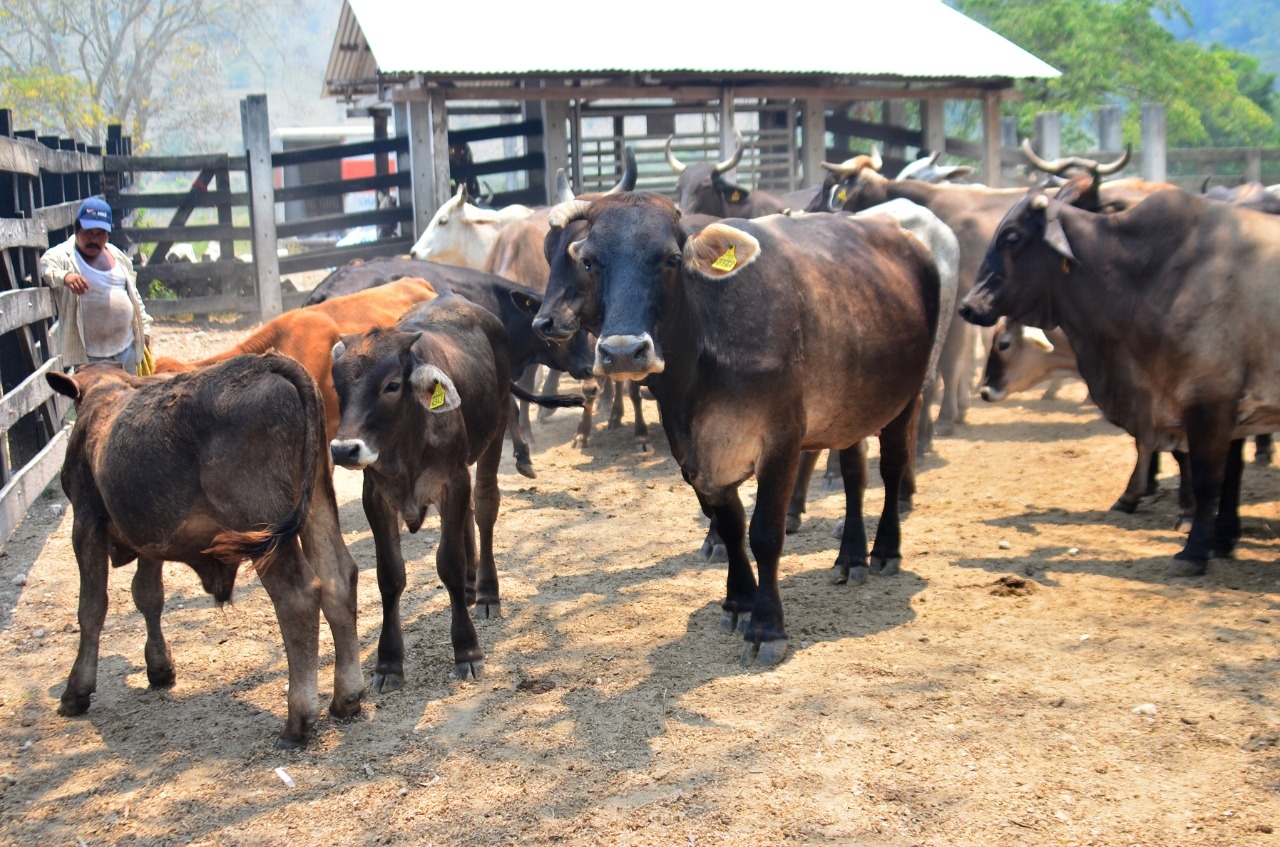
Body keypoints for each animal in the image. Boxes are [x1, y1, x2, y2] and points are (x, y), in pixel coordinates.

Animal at [47, 358, 363, 752]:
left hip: (266, 527)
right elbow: (148, 596)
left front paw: (76, 691)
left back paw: (297, 722)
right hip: (317, 499)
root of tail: (268, 364)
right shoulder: (152, 534)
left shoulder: (86, 519)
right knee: (338, 577)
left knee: (298, 599)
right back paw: (346, 698)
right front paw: (159, 667)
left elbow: (91, 607)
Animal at [529, 194, 942, 670]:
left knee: (892, 468)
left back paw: (885, 550)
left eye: (672, 259)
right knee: (855, 476)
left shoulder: (781, 441)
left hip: (907, 395)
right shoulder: (692, 452)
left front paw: (767, 627)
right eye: (590, 262)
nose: (624, 352)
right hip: (850, 409)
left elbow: (764, 533)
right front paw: (739, 601)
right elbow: (729, 525)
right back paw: (851, 556)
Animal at [962, 189, 1280, 580]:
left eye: (1011, 237)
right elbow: (1214, 467)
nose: (968, 306)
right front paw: (1218, 537)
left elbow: (1207, 477)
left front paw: (1193, 546)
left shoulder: (1208, 400)